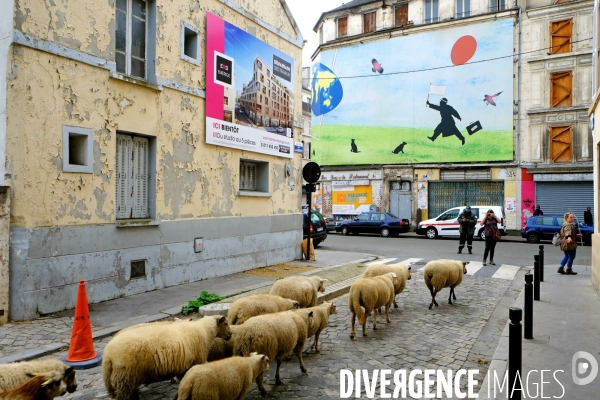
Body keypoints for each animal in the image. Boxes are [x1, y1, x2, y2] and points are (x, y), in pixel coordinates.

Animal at [102, 316, 231, 400]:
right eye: (226, 323)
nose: (230, 335)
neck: (204, 330)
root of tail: (108, 356)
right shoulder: (197, 359)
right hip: (126, 378)